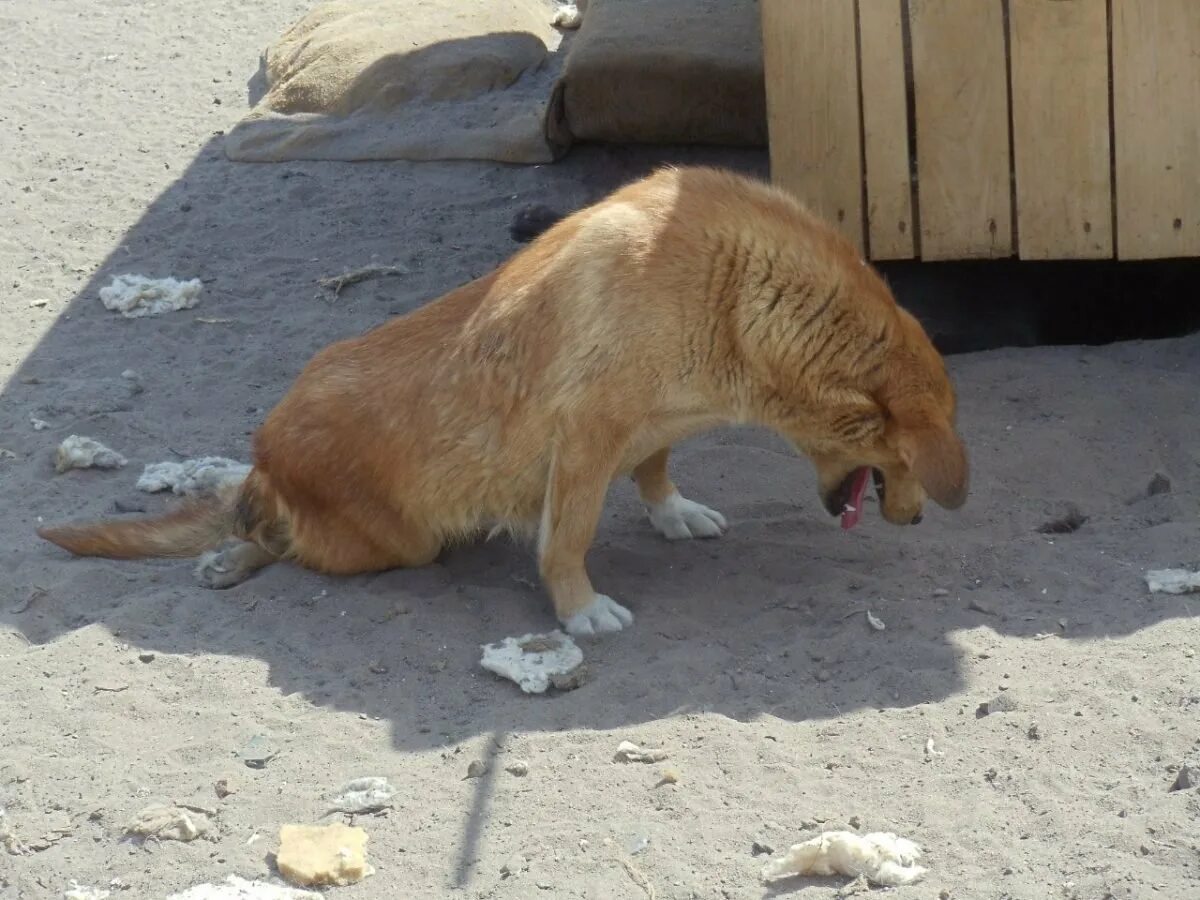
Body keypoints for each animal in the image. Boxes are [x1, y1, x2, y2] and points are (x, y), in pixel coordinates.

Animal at [42, 165, 969, 638]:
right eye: (898, 457)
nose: (922, 520)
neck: (738, 289)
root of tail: (266, 457)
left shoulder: (651, 423)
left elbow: (658, 466)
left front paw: (671, 511)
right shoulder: (588, 439)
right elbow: (570, 539)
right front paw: (579, 609)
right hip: (392, 544)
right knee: (274, 532)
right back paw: (233, 553)